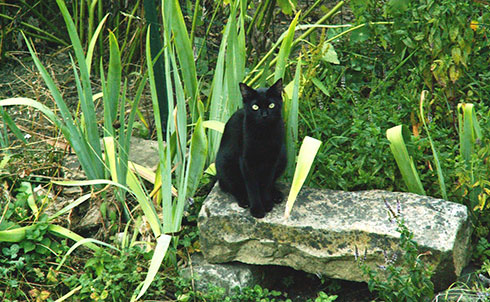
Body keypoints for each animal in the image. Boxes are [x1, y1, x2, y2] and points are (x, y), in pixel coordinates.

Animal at [214, 79, 288, 218]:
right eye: (255, 107)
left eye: (271, 105)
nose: (264, 115)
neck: (264, 135)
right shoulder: (247, 162)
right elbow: (252, 188)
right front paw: (257, 209)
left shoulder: (272, 160)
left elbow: (266, 184)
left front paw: (267, 203)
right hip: (226, 164)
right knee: (231, 186)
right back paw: (244, 200)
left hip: (283, 156)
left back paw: (276, 194)